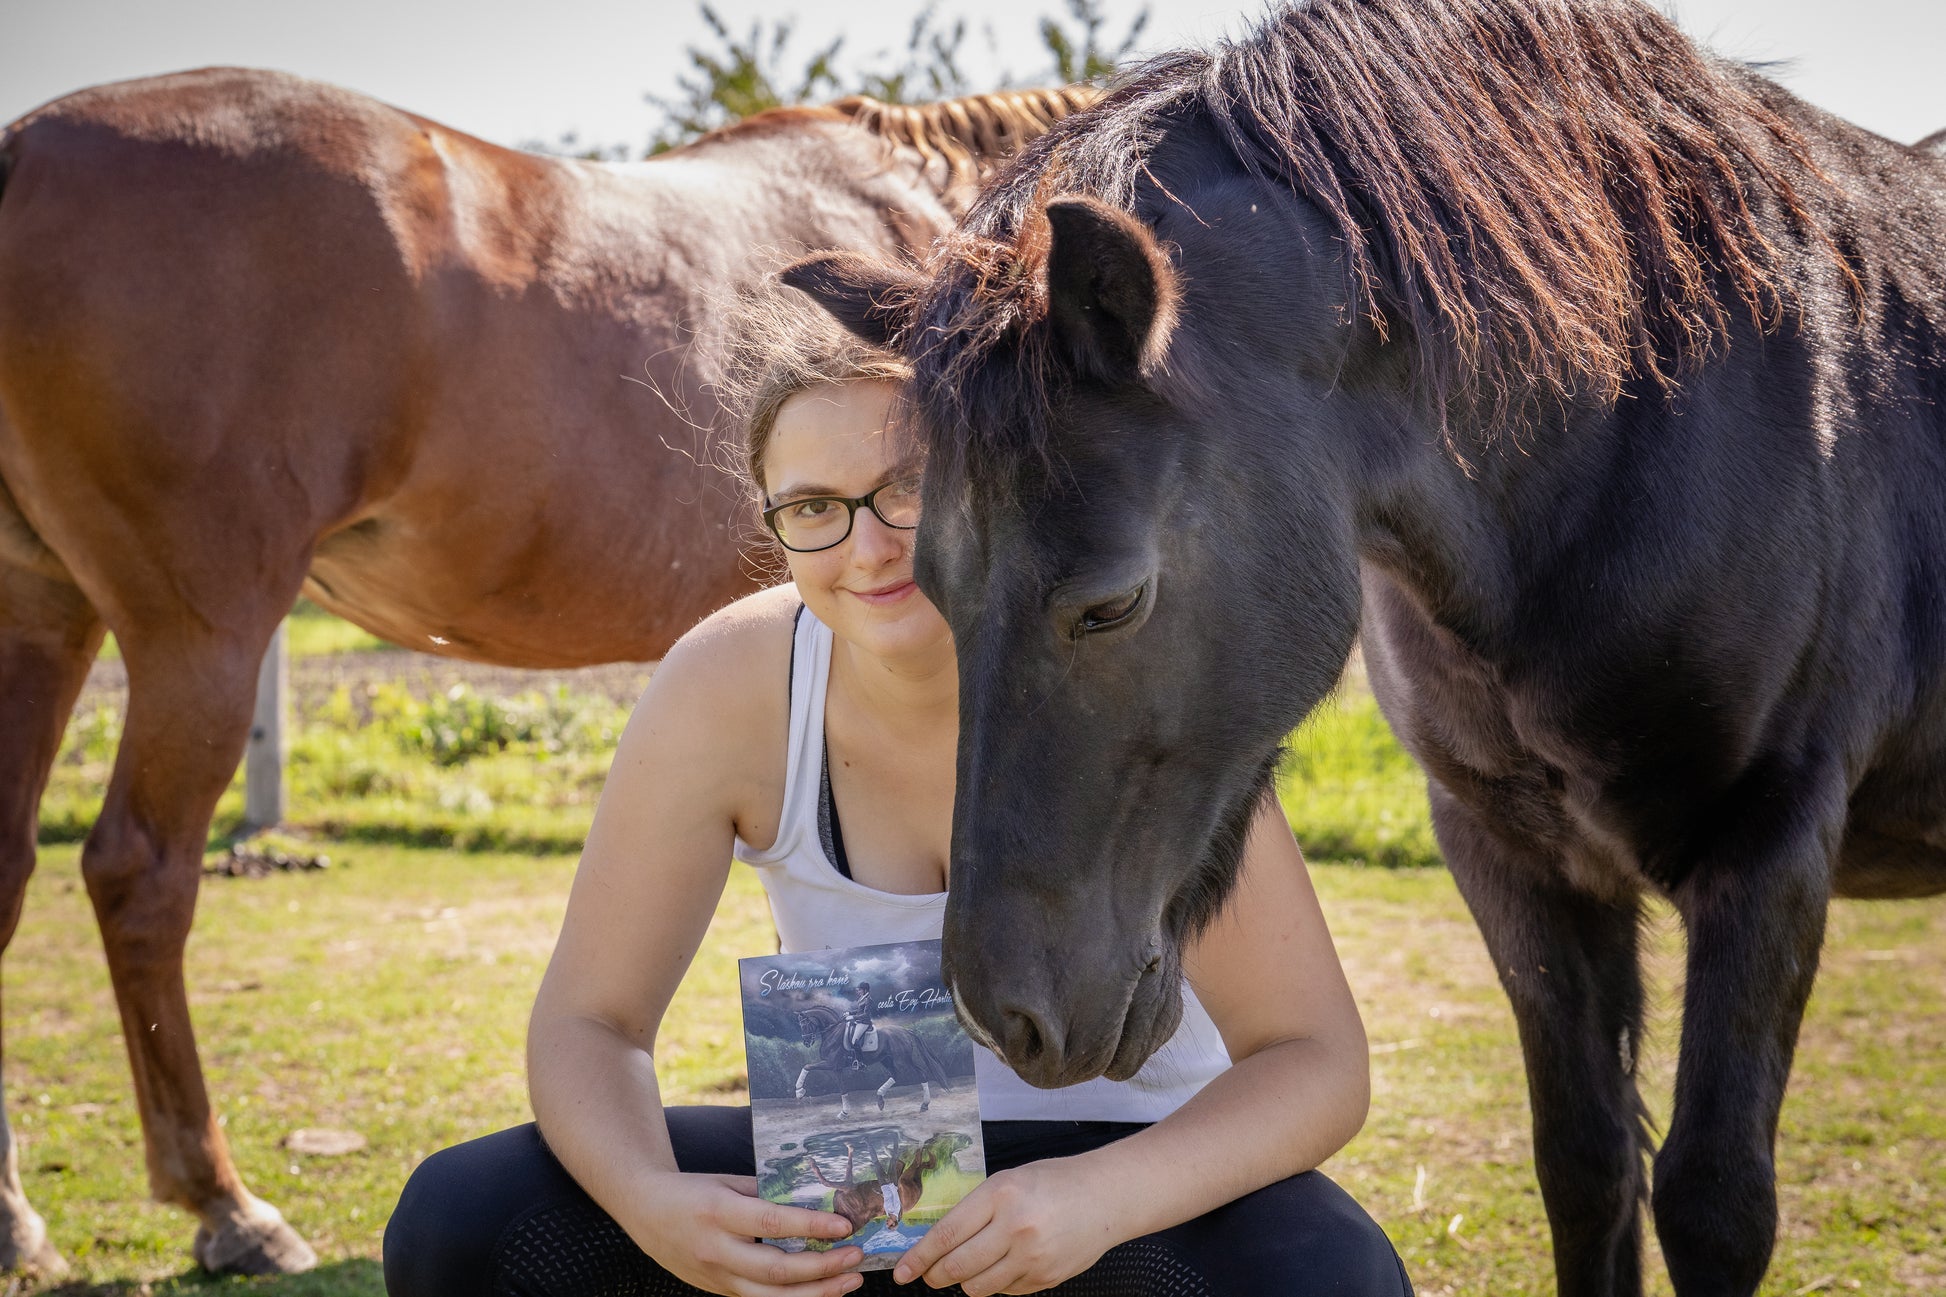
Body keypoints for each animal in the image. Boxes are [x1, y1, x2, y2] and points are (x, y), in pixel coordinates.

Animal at [793, 997, 953, 1113]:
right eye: (800, 1025)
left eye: (805, 1024)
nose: (806, 1042)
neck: (833, 1032)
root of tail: (904, 1031)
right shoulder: (836, 1068)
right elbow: (839, 1086)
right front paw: (800, 1092)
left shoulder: (832, 1064)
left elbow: (808, 1067)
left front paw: (800, 1092)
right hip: (886, 1059)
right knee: (895, 1074)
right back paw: (880, 1100)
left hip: (902, 1059)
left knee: (921, 1073)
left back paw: (924, 1105)